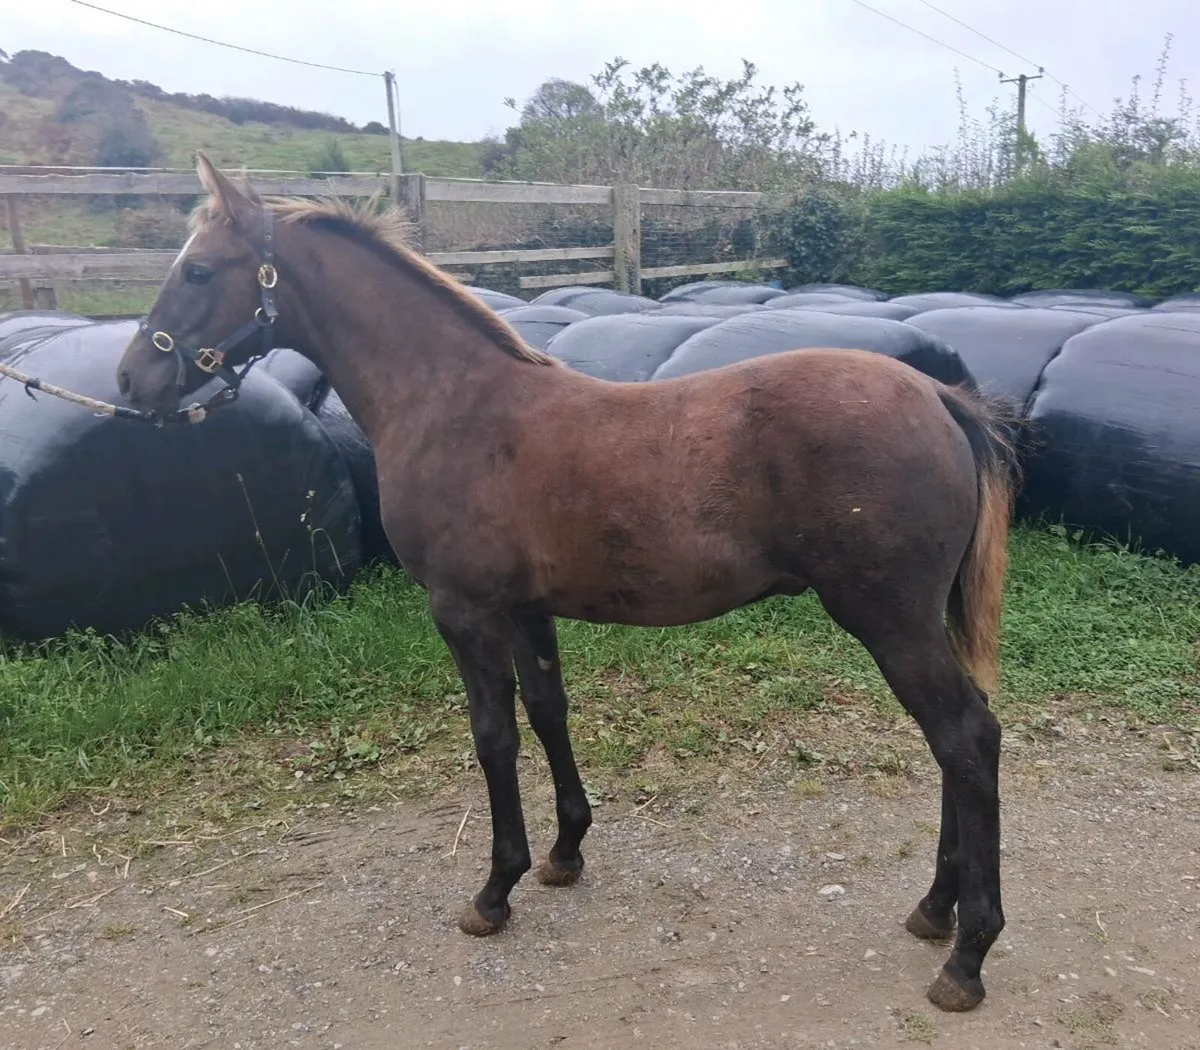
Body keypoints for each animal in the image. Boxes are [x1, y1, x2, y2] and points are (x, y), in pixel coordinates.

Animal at [117, 153, 1017, 1013]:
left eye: (198, 270)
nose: (130, 381)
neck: (455, 405)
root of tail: (940, 395)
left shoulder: (465, 611)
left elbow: (494, 737)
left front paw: (494, 890)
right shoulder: (526, 611)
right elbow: (549, 712)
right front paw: (563, 852)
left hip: (888, 619)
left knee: (965, 736)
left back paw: (968, 956)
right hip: (915, 620)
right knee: (955, 739)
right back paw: (934, 910)